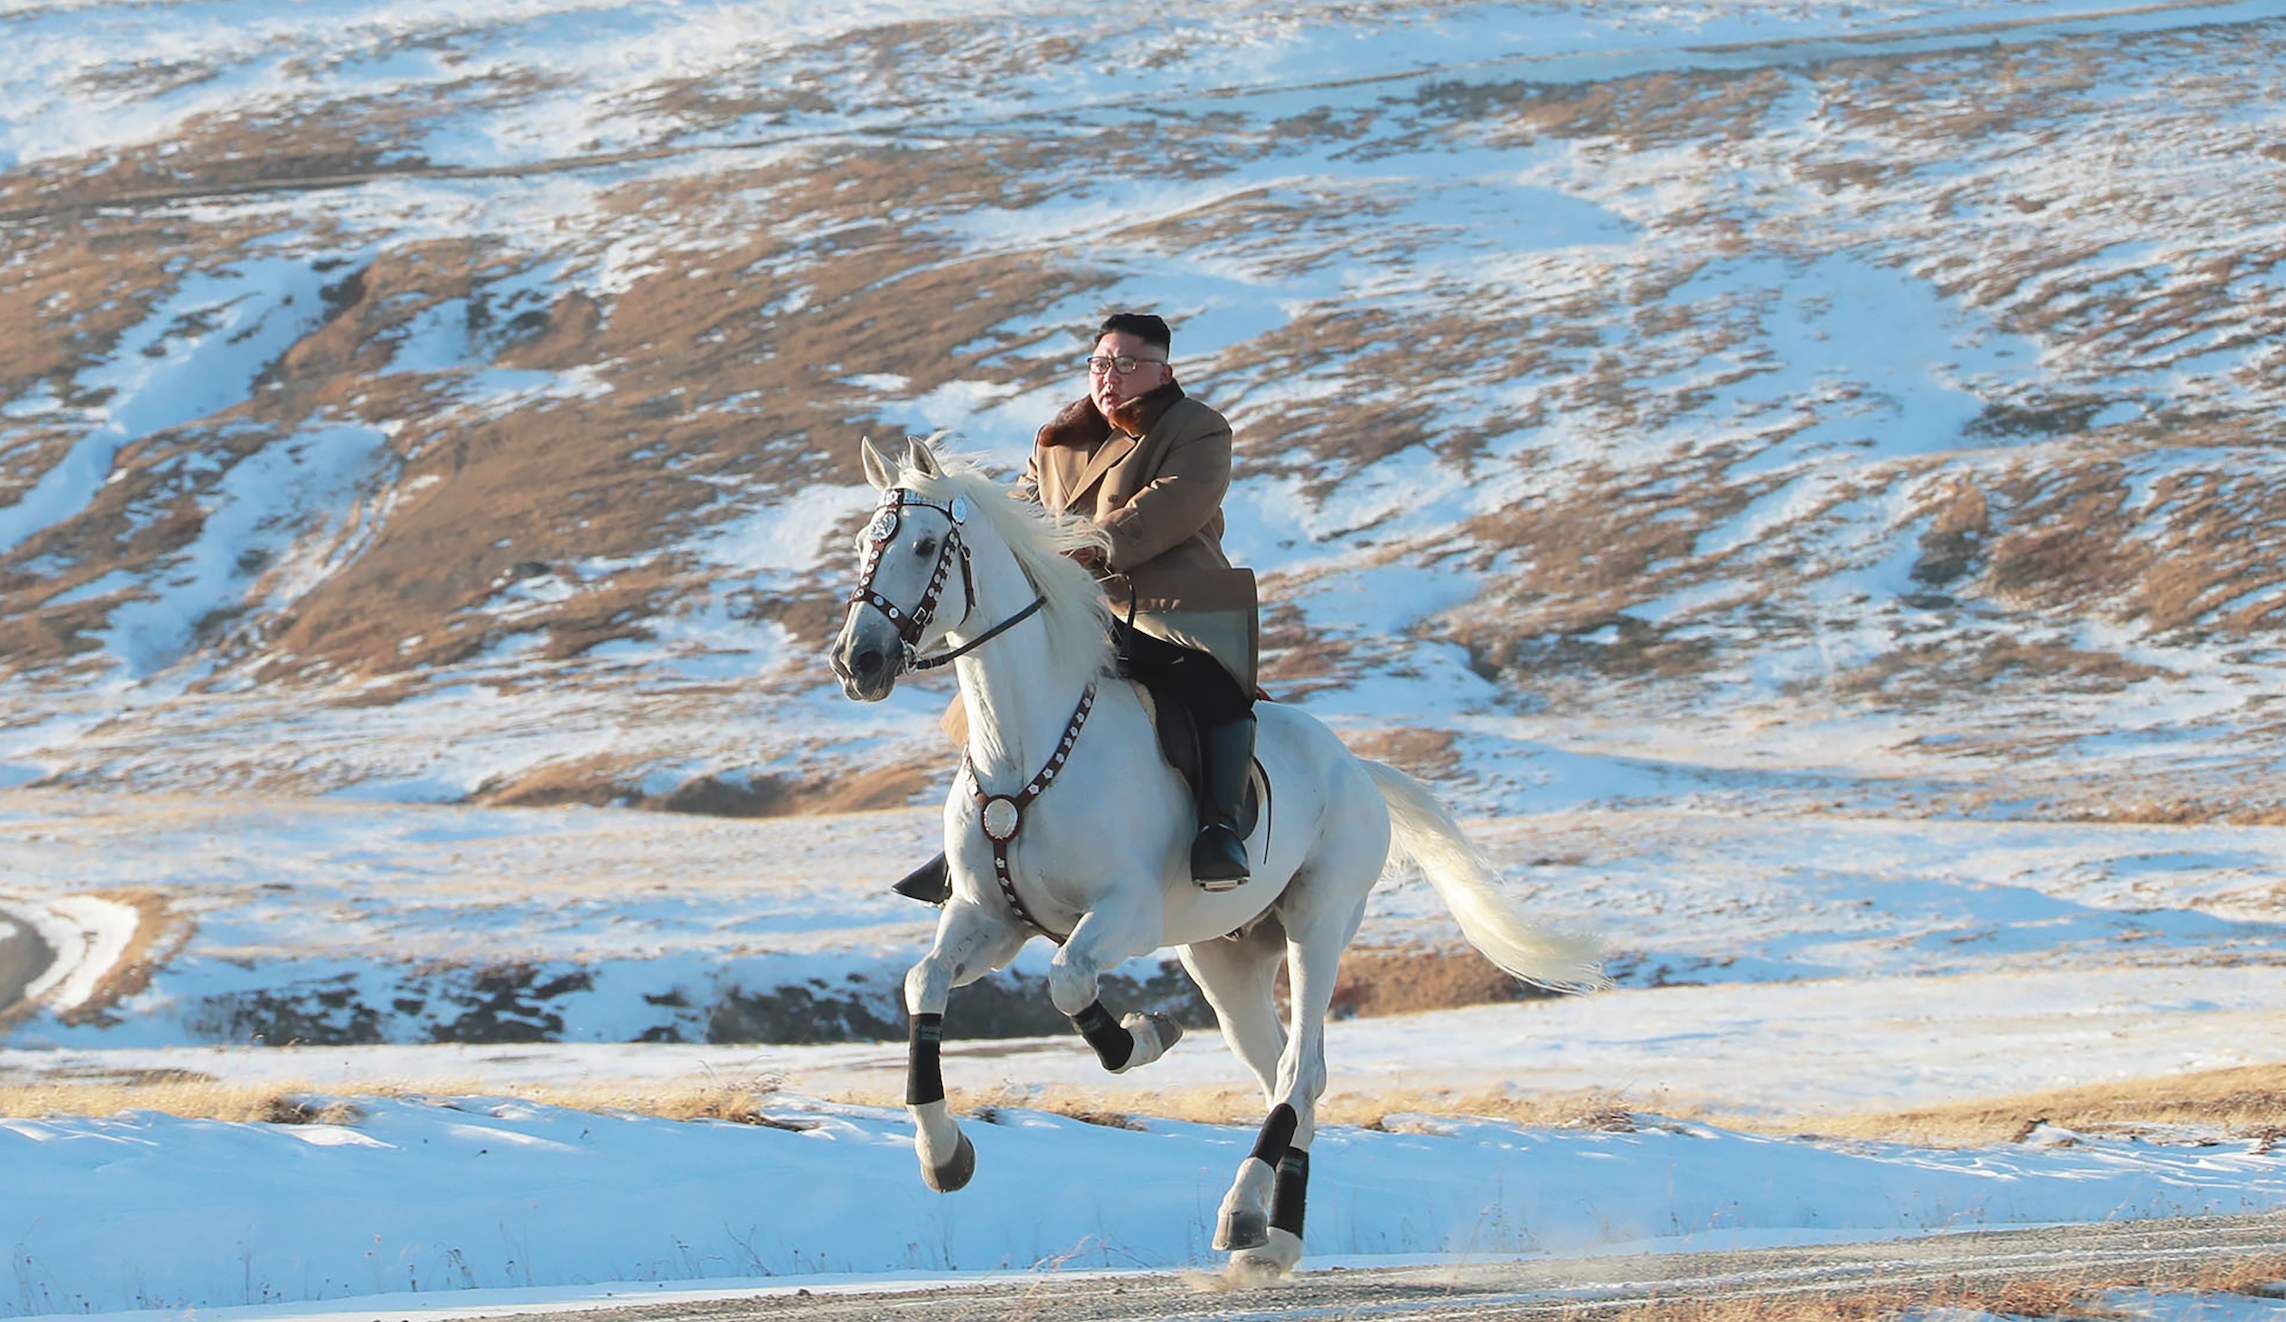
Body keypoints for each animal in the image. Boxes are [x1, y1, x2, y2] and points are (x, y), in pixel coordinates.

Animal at [829, 435, 1602, 1277]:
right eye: (865, 544)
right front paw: (943, 1154)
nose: (858, 661)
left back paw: (1242, 1215)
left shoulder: (1124, 913)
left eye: (925, 545)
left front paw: (1142, 1037)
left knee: (1299, 1071)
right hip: (1225, 957)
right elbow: (923, 983)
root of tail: (1358, 768)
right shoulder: (989, 919)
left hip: (1318, 923)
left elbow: (1069, 981)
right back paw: (1275, 1235)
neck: (1024, 747)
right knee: (1290, 1078)